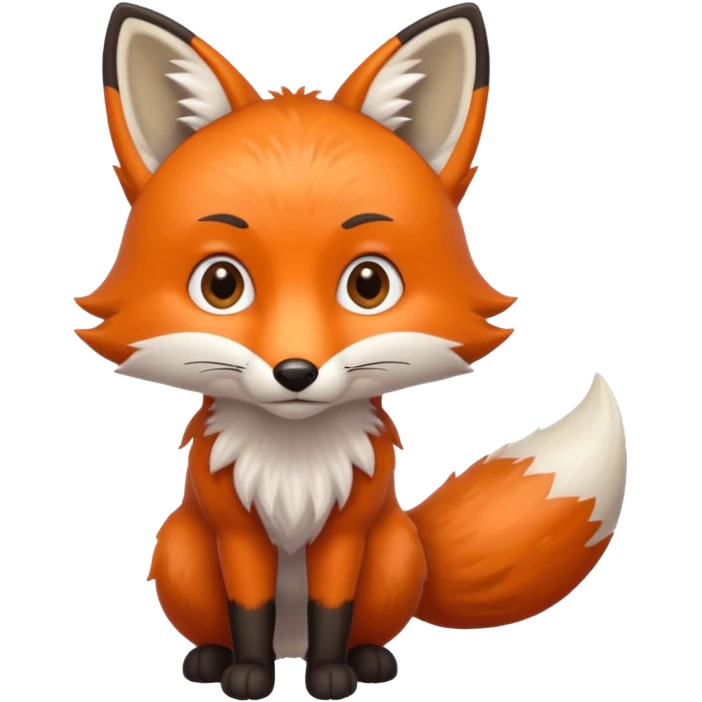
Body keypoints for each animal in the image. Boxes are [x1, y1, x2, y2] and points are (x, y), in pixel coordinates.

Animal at [76, 2, 629, 700]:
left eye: (369, 284)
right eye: (221, 285)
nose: (295, 372)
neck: (293, 464)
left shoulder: (348, 531)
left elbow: (331, 609)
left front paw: (331, 675)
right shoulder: (236, 531)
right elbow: (249, 609)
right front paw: (249, 675)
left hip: (395, 552)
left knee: (366, 623)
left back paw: (368, 660)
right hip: (178, 548)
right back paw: (209, 659)